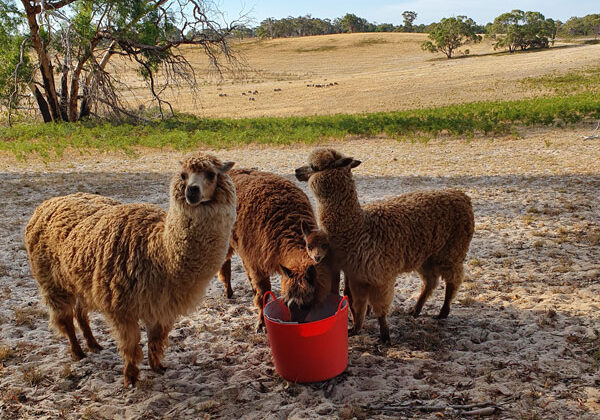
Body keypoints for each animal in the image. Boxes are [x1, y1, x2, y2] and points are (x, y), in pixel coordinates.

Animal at [25, 154, 237, 388]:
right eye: (183, 175)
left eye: (211, 174)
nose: (191, 191)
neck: (159, 252)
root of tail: (48, 202)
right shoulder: (122, 305)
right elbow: (131, 343)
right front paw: (130, 378)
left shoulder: (163, 305)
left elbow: (156, 338)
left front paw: (158, 367)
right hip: (52, 281)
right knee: (65, 319)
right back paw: (78, 352)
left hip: (82, 280)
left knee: (81, 313)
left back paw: (94, 344)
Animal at [217, 169, 340, 330]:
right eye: (287, 304)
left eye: (306, 305)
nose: (296, 323)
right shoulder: (257, 261)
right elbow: (263, 293)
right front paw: (261, 323)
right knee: (225, 262)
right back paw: (228, 292)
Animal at [296, 149, 474, 342]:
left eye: (314, 166)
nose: (297, 171)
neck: (359, 228)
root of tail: (461, 196)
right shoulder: (358, 276)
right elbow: (357, 304)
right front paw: (355, 328)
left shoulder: (379, 275)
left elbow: (379, 306)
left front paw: (385, 334)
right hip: (426, 256)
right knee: (431, 281)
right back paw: (416, 309)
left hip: (452, 250)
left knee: (453, 279)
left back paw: (443, 312)